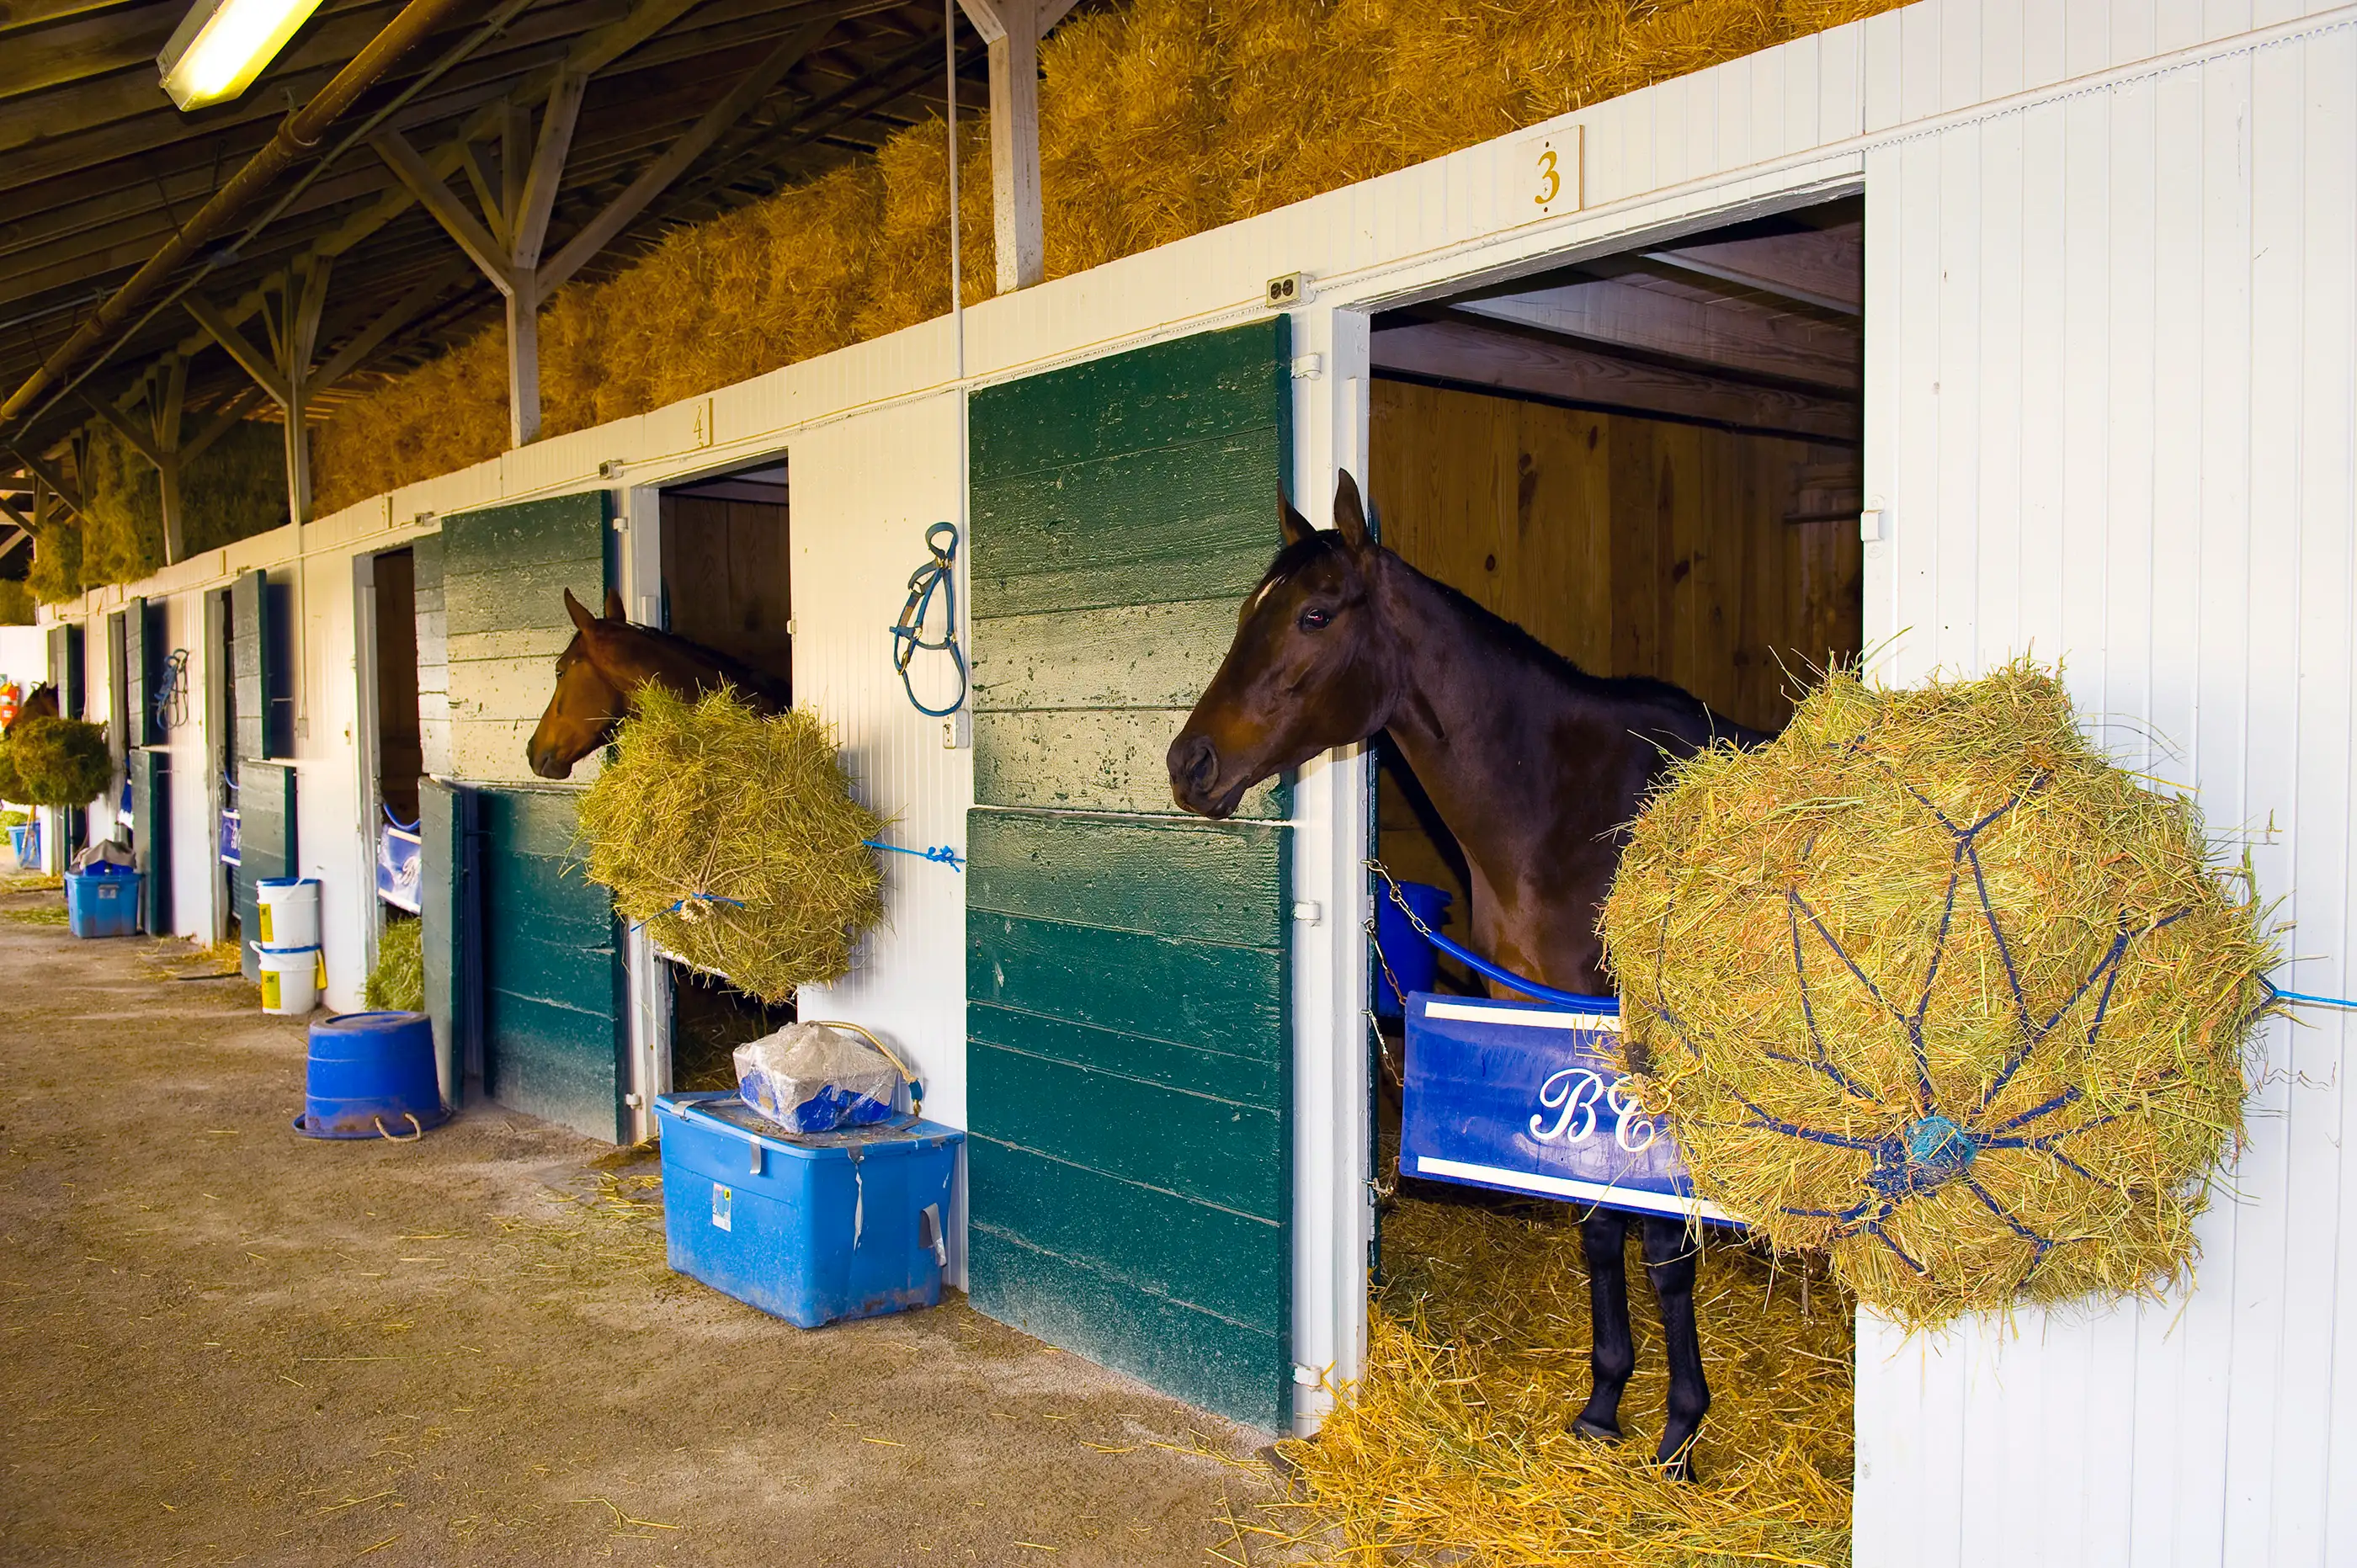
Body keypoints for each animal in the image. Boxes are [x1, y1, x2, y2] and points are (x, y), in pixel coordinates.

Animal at [1168, 471, 1763, 1471]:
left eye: (1315, 615)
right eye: (1253, 610)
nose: (1189, 763)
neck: (1575, 809)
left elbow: (1660, 1245)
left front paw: (1680, 1430)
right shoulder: (1539, 1019)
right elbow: (1595, 1223)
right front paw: (1604, 1400)